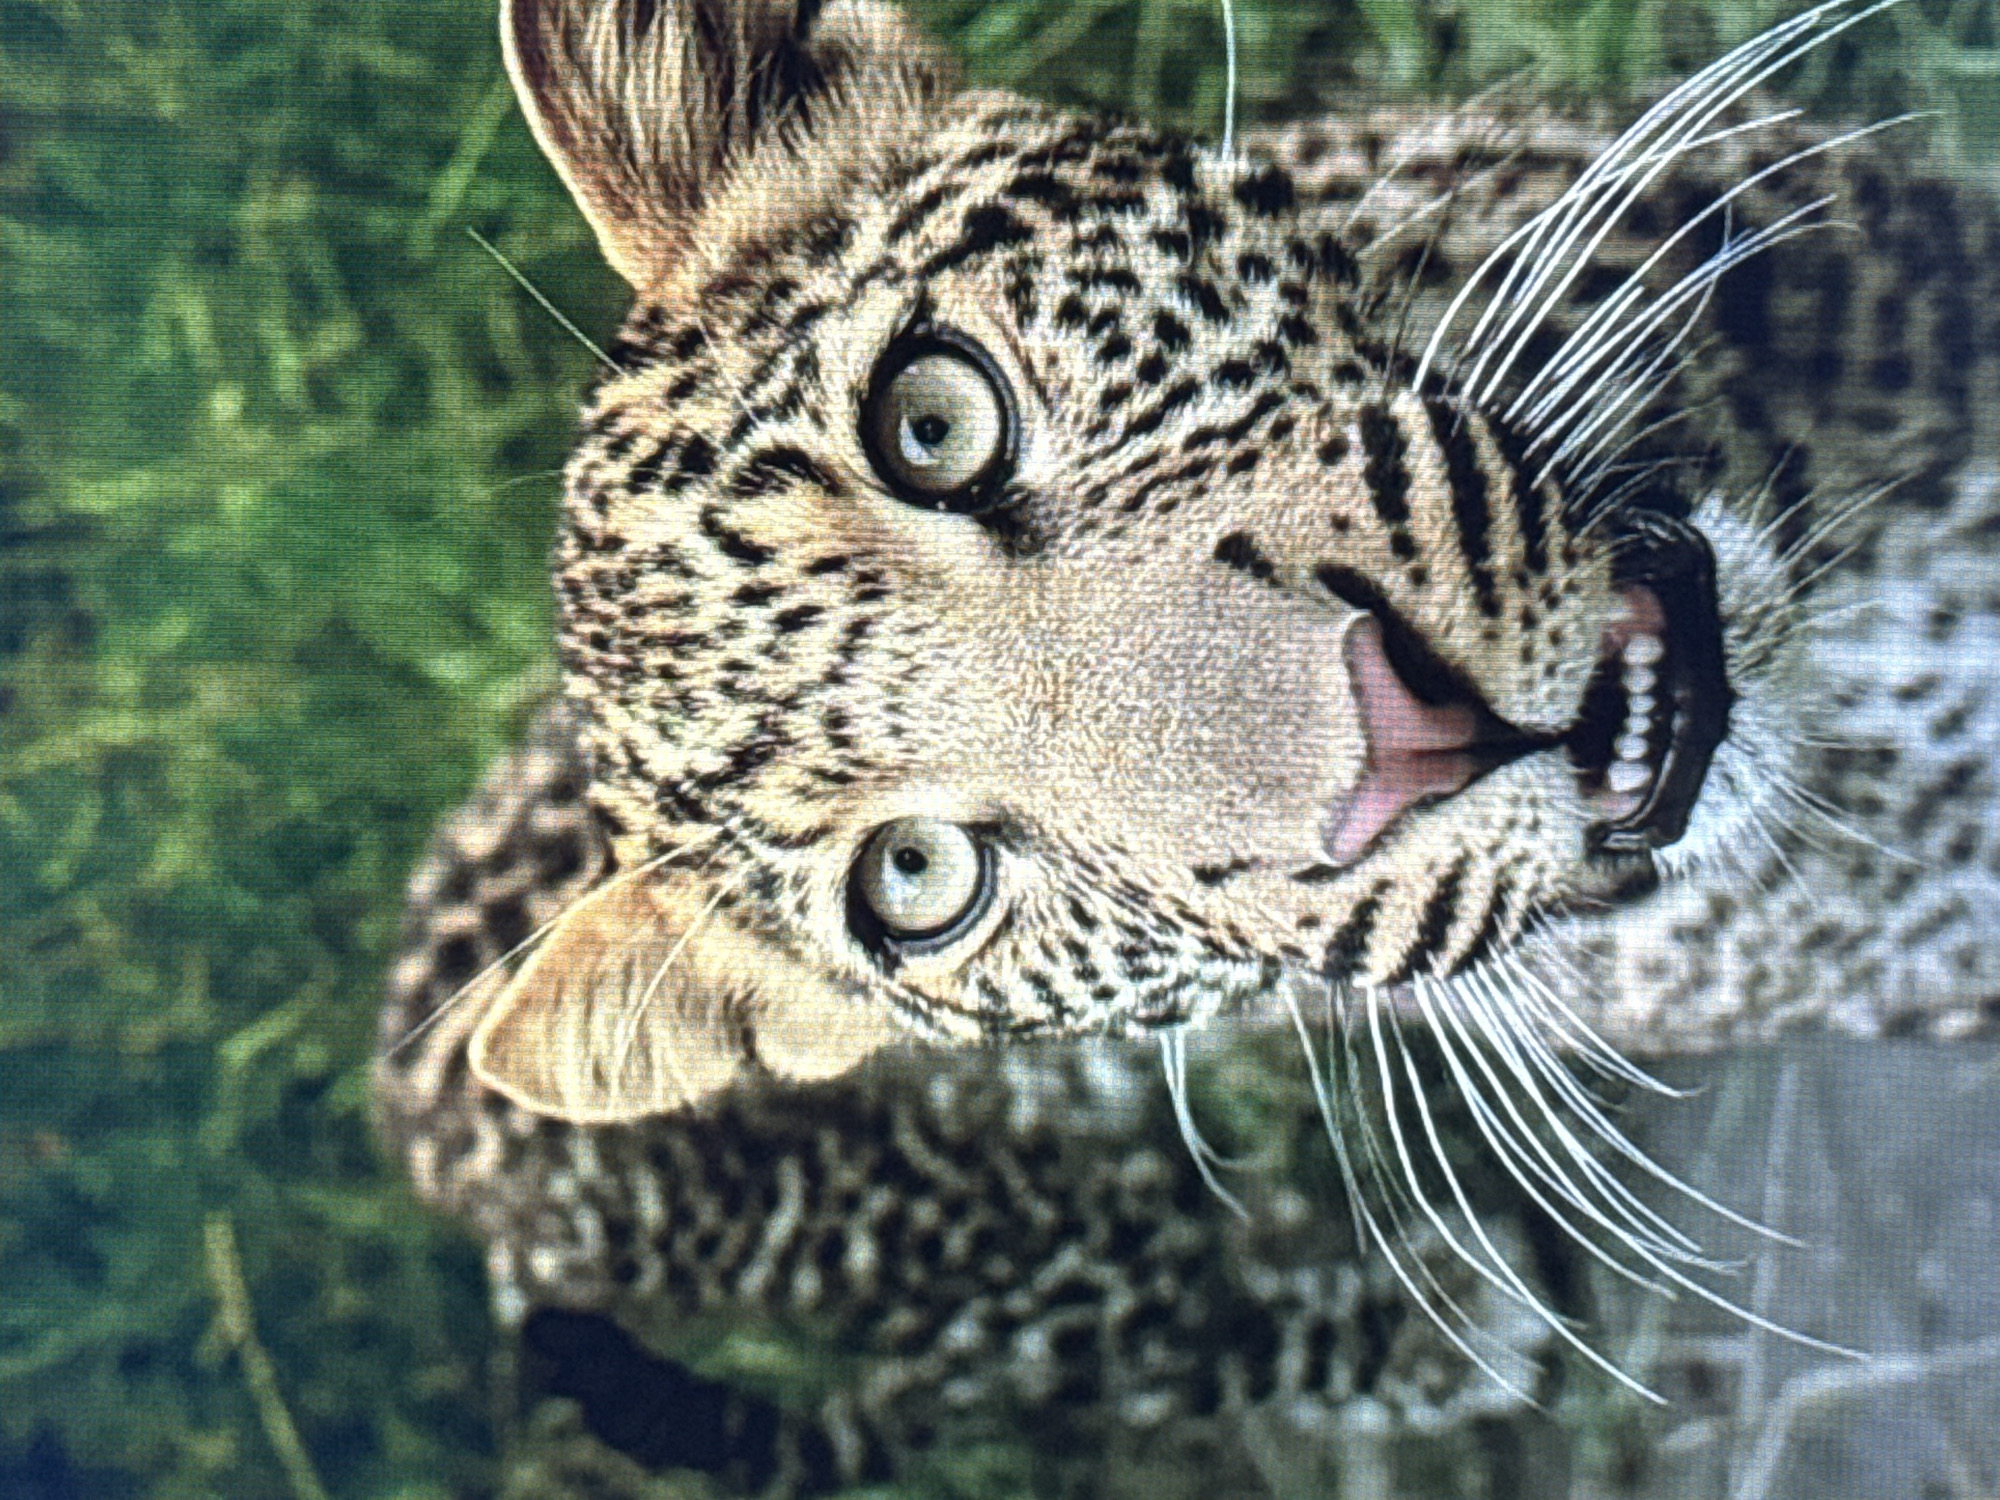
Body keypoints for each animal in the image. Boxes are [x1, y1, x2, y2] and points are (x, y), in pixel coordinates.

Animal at [373, 0, 2000, 1494]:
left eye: (930, 420)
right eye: (916, 881)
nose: (1411, 738)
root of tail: (414, 1106)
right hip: (977, 1267)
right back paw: (1443, 1332)